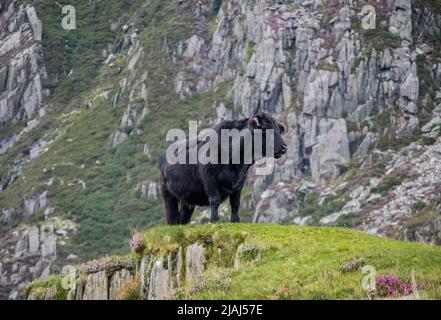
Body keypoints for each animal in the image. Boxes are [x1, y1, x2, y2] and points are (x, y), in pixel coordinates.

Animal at [160, 112, 288, 225]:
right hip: (167, 192)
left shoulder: (240, 182)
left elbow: (235, 202)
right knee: (171, 213)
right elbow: (215, 200)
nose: (284, 147)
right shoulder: (209, 178)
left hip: (187, 198)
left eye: (278, 130)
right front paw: (214, 220)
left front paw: (235, 221)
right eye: (265, 130)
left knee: (183, 217)